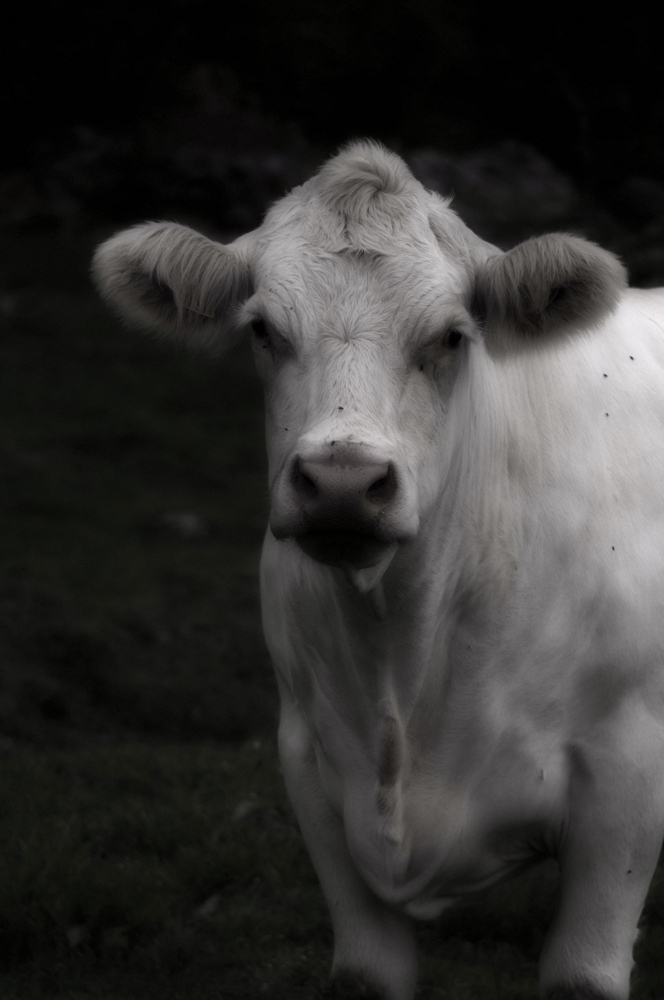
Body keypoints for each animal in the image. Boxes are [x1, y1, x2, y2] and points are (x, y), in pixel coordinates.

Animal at [93, 143, 664, 1000]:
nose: (342, 482)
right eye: (262, 328)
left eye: (454, 335)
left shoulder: (628, 780)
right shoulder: (314, 769)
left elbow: (582, 971)